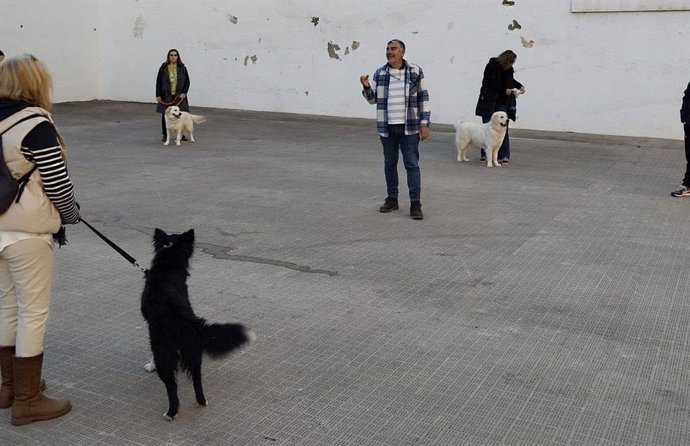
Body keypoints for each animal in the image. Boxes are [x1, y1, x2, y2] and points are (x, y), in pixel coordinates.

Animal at [140, 228, 253, 420]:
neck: (168, 266)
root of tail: (187, 320)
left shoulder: (154, 335)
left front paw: (150, 366)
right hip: (194, 353)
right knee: (197, 380)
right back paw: (202, 401)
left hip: (165, 352)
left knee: (172, 387)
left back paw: (171, 413)